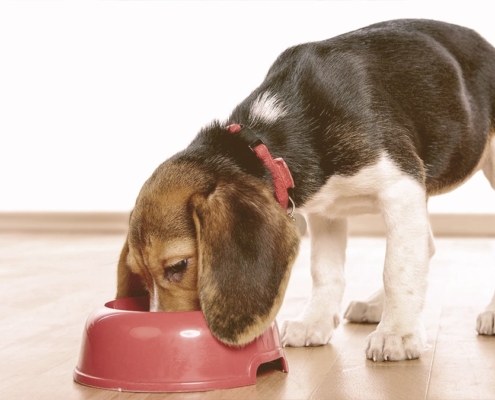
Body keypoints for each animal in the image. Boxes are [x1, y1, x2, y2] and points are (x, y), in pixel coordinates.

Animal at [115, 19, 495, 362]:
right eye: (139, 275)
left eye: (179, 265)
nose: (165, 335)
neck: (266, 139)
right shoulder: (327, 210)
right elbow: (325, 271)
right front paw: (316, 322)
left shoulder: (400, 185)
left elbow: (398, 268)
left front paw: (397, 334)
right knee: (424, 244)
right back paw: (374, 305)